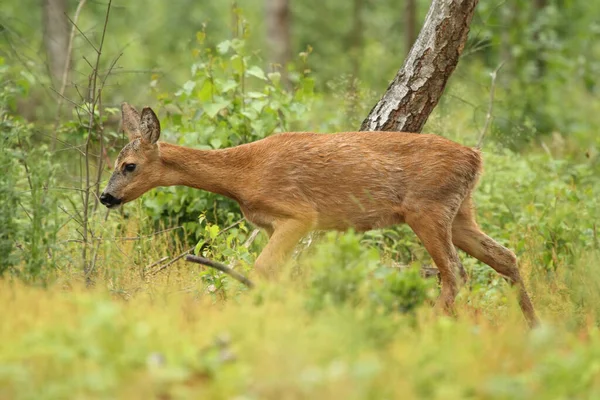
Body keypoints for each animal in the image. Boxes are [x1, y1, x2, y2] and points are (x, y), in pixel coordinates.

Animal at [99, 104, 540, 326]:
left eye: (129, 166)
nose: (105, 196)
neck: (242, 176)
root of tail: (476, 157)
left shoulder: (299, 214)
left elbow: (262, 270)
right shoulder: (279, 226)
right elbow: (281, 274)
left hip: (427, 209)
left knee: (455, 272)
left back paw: (428, 324)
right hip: (461, 212)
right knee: (504, 256)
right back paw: (534, 325)